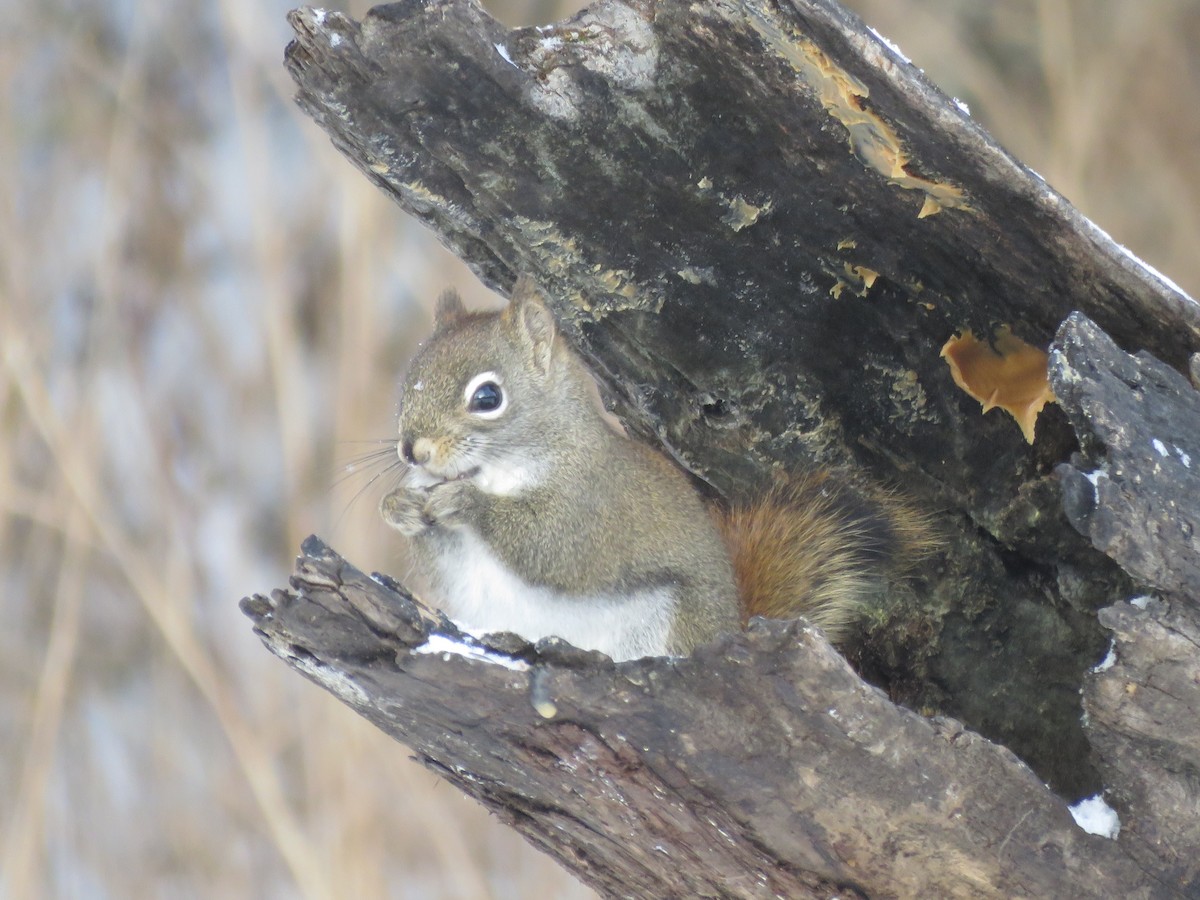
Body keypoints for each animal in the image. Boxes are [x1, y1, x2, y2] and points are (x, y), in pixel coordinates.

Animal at [380, 276, 931, 661]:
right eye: (410, 380)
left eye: (488, 397)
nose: (412, 451)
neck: (498, 469)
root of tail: (731, 626)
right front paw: (398, 505)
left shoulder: (590, 508)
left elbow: (551, 548)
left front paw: (465, 503)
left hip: (666, 625)